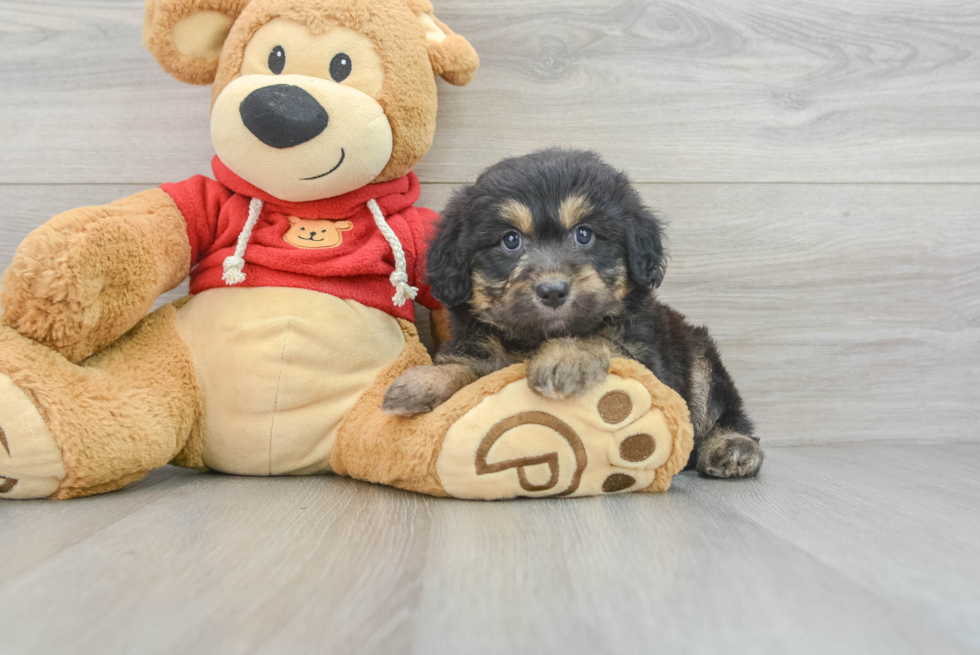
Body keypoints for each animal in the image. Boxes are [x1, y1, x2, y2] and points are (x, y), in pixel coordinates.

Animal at [382, 149, 764, 480]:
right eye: (510, 240)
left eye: (584, 234)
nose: (553, 291)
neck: (535, 338)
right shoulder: (478, 347)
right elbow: (466, 366)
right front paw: (424, 381)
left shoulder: (646, 359)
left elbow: (597, 337)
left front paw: (564, 358)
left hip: (699, 355)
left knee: (720, 409)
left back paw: (732, 446)